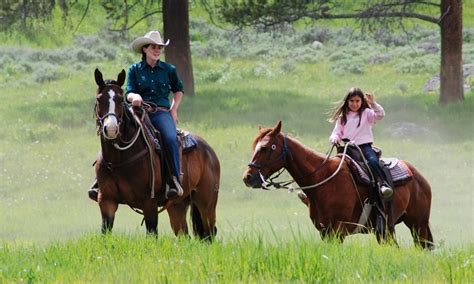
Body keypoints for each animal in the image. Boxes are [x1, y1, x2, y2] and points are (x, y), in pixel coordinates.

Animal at [93, 69, 219, 240]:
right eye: (99, 99)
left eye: (120, 99)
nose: (111, 129)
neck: (119, 159)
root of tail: (209, 152)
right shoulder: (106, 200)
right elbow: (105, 232)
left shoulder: (149, 203)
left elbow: (152, 234)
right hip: (177, 206)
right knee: (184, 234)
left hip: (206, 203)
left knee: (210, 233)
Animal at [244, 121, 434, 250]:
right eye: (255, 147)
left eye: (267, 147)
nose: (248, 177)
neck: (324, 180)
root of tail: (420, 178)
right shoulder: (324, 231)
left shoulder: (338, 231)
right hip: (388, 230)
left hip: (418, 224)